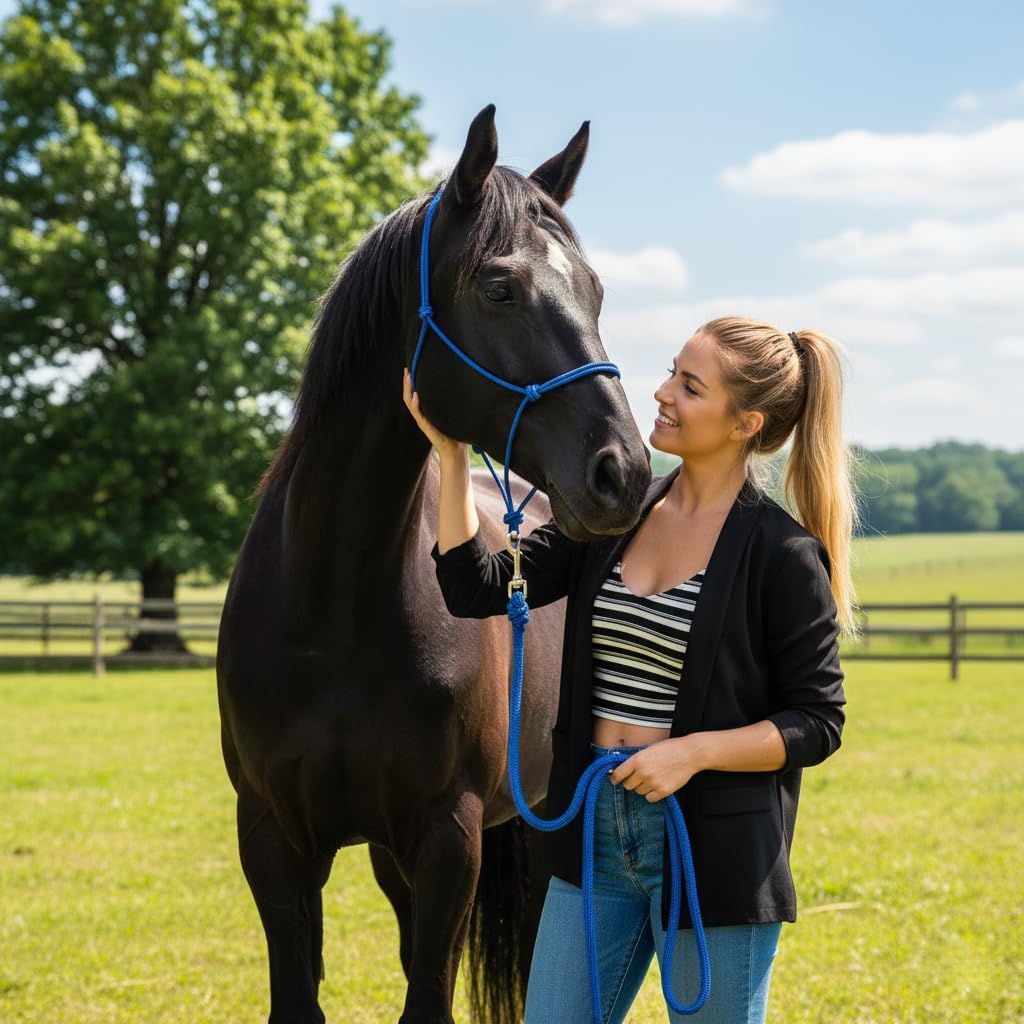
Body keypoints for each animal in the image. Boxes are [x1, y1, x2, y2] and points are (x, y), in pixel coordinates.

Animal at [216, 104, 652, 1024]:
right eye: (499, 288)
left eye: (596, 293)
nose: (625, 474)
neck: (335, 606)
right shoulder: (273, 836)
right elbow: (299, 993)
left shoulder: (449, 837)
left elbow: (430, 996)